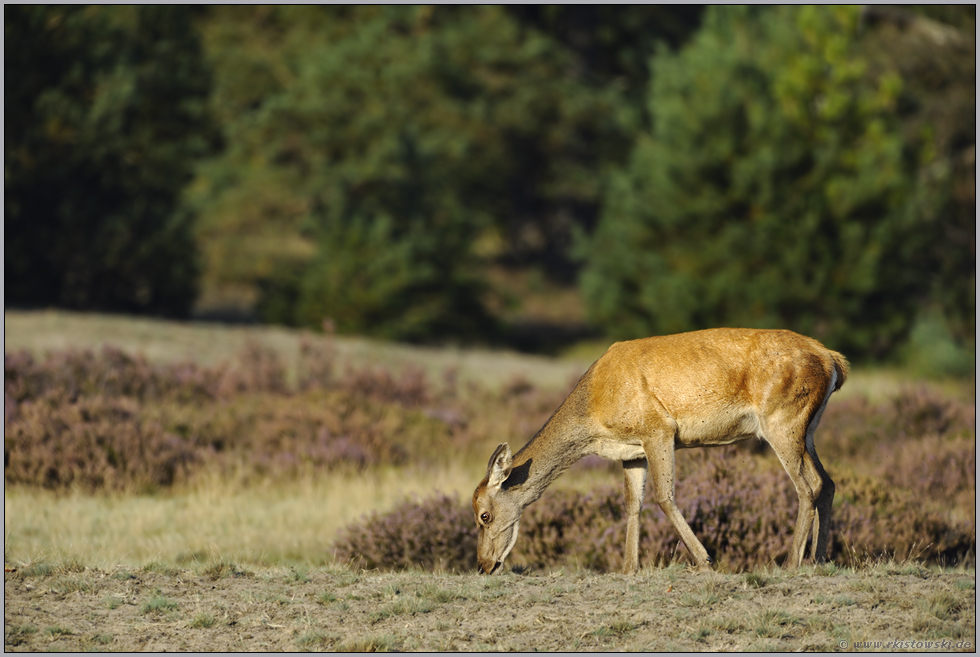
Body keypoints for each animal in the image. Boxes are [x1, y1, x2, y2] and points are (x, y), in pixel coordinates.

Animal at [470, 328, 848, 576]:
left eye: (484, 515)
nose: (484, 565)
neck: (594, 414)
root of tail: (833, 359)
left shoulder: (658, 429)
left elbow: (664, 496)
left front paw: (705, 561)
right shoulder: (631, 450)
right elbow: (632, 503)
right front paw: (628, 568)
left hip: (781, 419)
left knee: (807, 486)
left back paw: (791, 562)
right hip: (808, 428)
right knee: (826, 483)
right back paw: (820, 559)